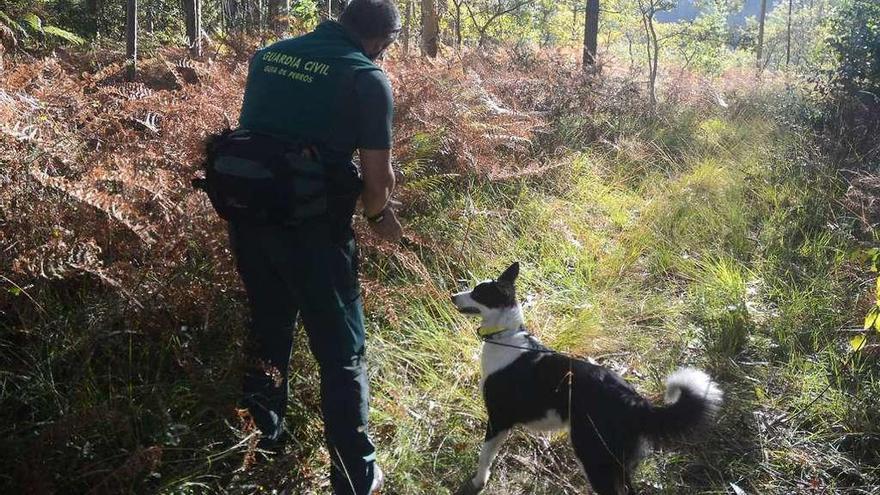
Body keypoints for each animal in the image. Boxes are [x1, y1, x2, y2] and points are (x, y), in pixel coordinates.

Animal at [454, 262, 720, 494]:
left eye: (477, 292)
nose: (453, 296)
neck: (505, 336)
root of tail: (635, 402)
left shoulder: (498, 421)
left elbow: (484, 458)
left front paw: (478, 483)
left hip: (594, 458)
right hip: (618, 464)